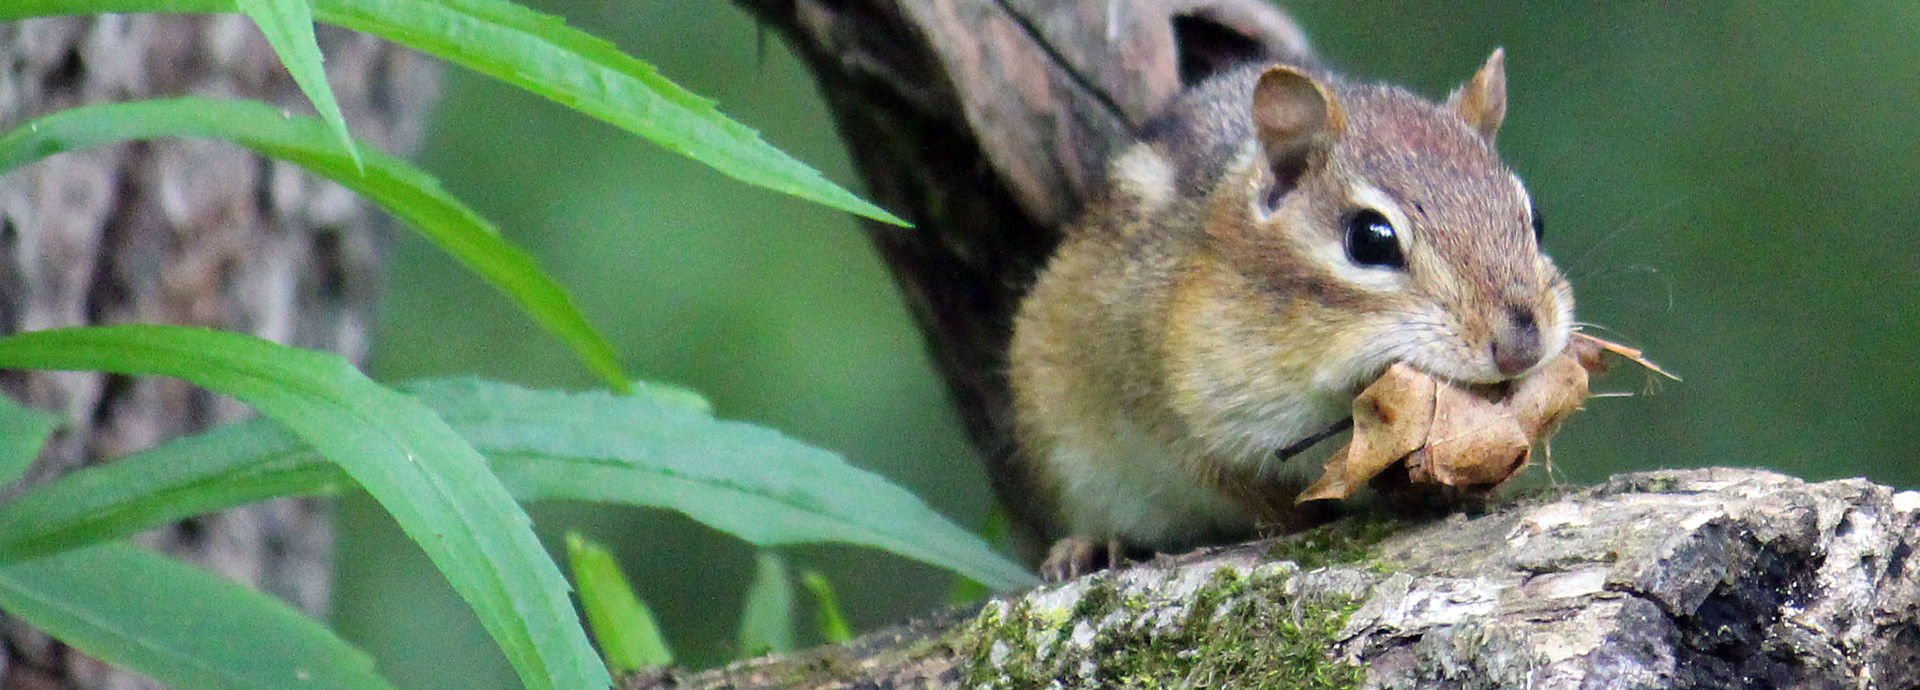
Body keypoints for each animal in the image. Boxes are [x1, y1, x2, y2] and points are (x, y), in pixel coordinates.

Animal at [1008, 49, 1574, 581]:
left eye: (1537, 221)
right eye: (1370, 239)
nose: (1522, 347)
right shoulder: (1182, 412)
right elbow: (1247, 487)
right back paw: (1084, 548)